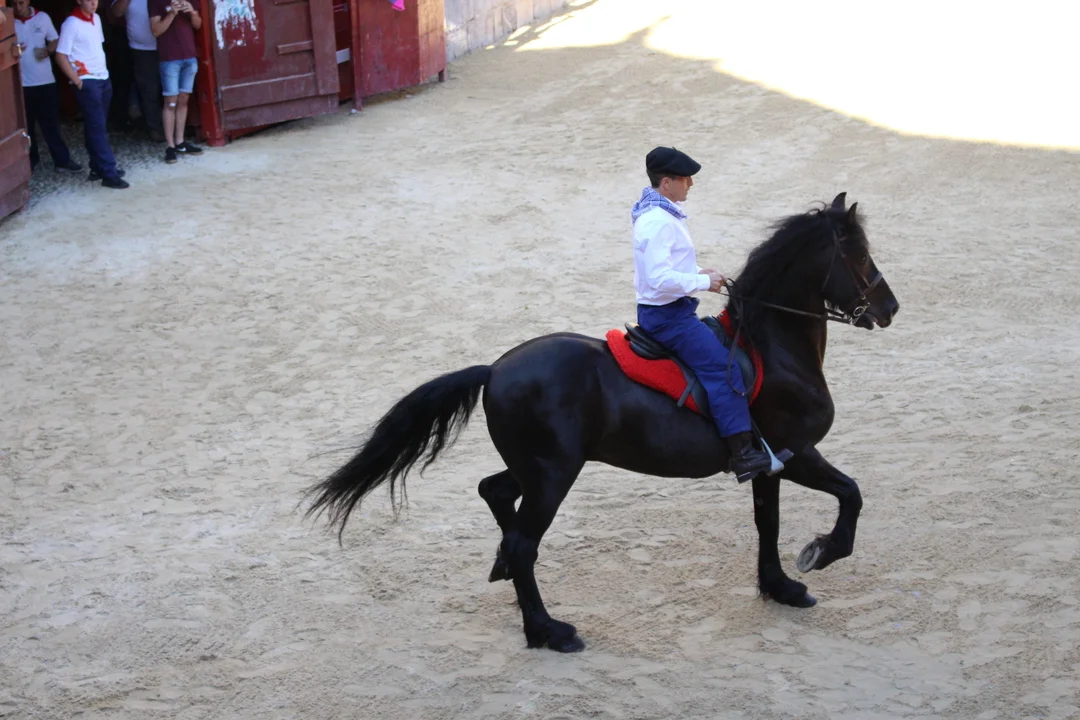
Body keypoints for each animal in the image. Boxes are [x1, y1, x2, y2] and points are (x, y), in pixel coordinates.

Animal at [305, 192, 900, 653]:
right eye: (859, 254)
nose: (890, 308)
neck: (771, 347)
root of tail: (494, 369)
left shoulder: (769, 463)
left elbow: (767, 523)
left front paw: (780, 588)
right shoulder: (795, 452)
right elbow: (851, 494)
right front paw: (821, 553)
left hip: (536, 468)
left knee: (495, 494)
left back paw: (504, 571)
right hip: (553, 475)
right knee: (524, 543)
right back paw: (548, 631)